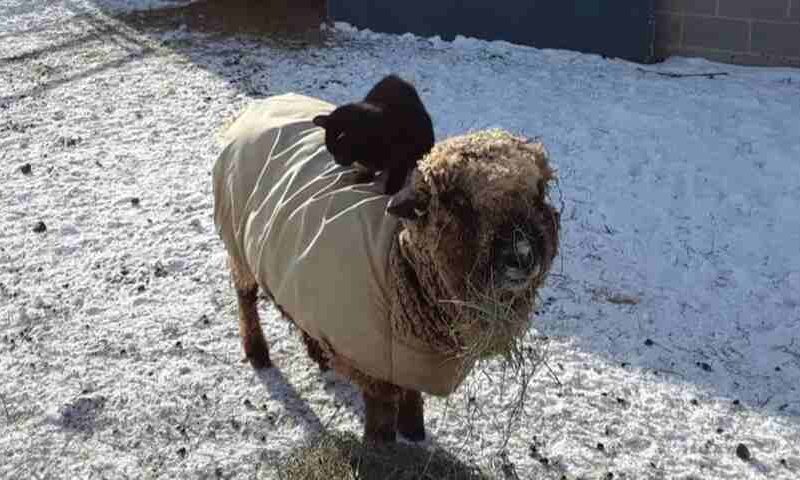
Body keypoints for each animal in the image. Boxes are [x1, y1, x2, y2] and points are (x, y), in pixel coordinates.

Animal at [213, 92, 560, 444]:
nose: (522, 256)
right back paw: (257, 350)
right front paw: (388, 442)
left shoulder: (406, 360)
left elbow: (411, 394)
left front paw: (414, 429)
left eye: (538, 193)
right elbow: (380, 425)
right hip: (239, 244)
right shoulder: (371, 370)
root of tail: (267, 102)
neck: (398, 264)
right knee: (245, 297)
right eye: (457, 202)